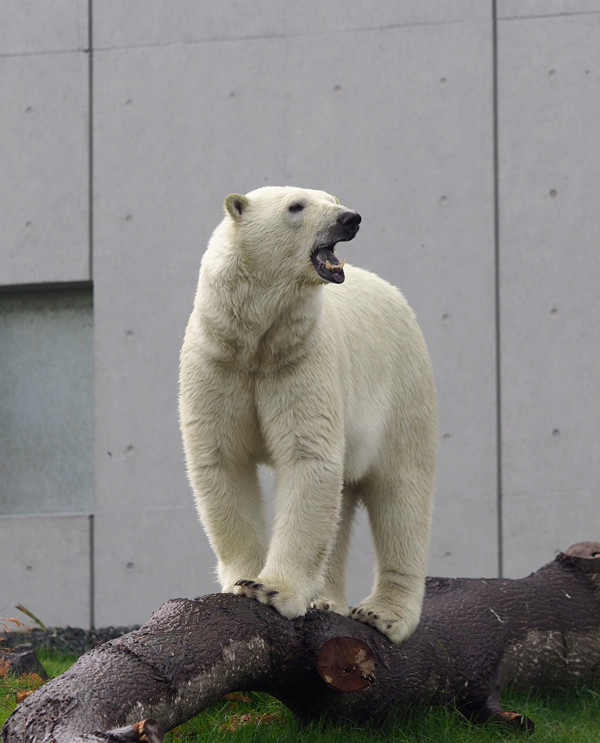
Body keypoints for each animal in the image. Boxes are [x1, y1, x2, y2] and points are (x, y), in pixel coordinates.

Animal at [178, 186, 436, 644]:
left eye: (332, 198)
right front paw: (243, 581)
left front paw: (269, 589)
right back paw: (325, 600)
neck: (257, 340)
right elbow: (221, 458)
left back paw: (383, 614)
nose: (349, 218)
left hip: (401, 389)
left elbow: (307, 458)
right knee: (343, 501)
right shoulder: (218, 359)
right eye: (296, 206)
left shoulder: (302, 359)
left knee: (402, 489)